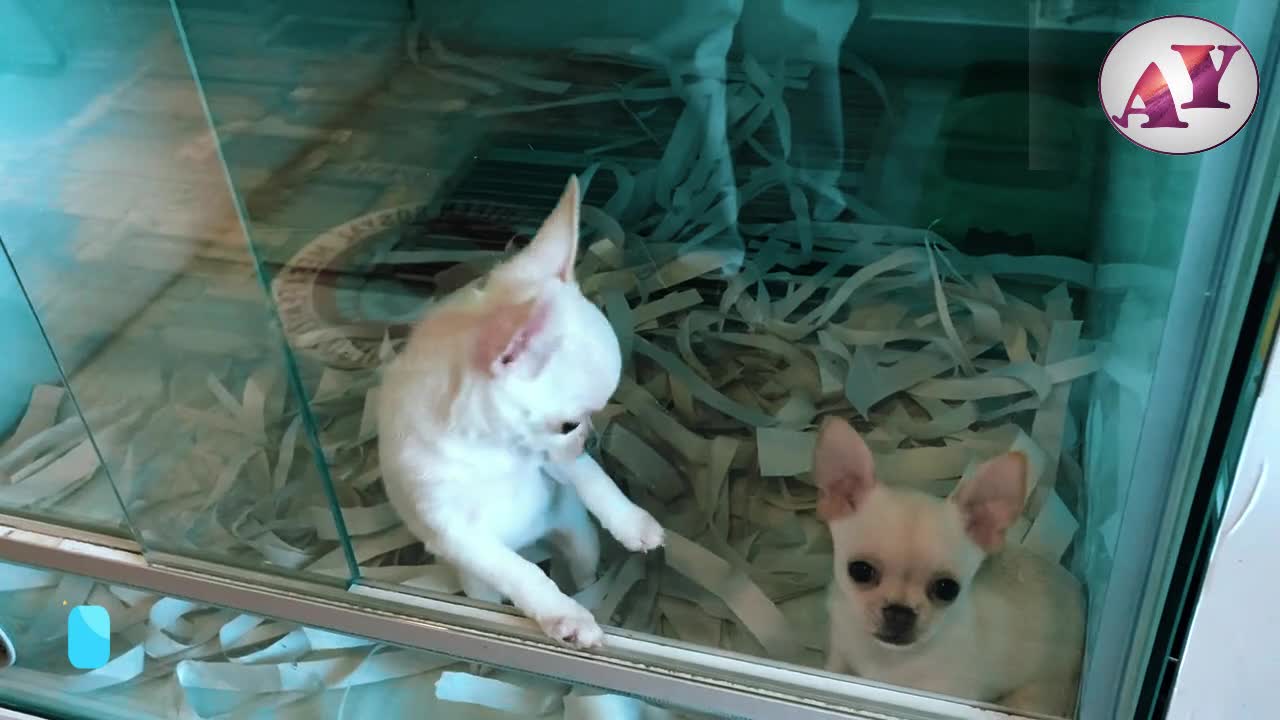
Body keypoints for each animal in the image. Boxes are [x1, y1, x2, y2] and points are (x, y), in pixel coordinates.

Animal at [373, 174, 665, 645]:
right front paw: (564, 616)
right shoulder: (454, 530)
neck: (494, 452)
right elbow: (522, 574)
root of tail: (534, 541)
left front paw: (632, 522)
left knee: (583, 566)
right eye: (568, 424)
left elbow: (592, 478)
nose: (588, 438)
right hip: (476, 582)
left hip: (578, 536)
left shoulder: (549, 458)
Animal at [814, 415, 1085, 712]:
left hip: (1040, 691)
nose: (899, 613)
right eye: (860, 571)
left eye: (947, 589)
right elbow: (835, 669)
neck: (887, 658)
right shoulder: (841, 650)